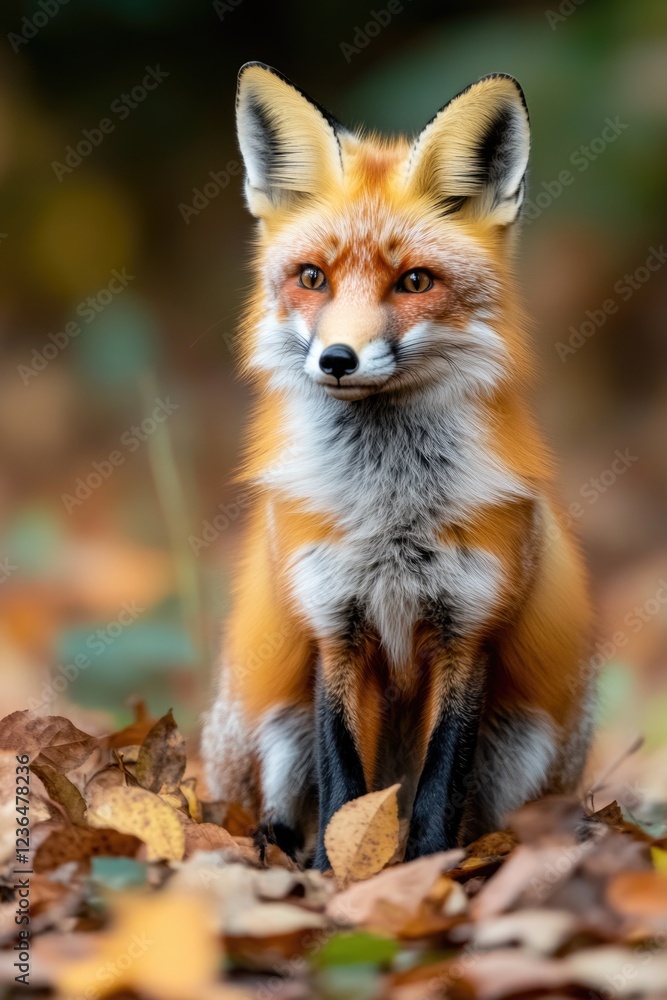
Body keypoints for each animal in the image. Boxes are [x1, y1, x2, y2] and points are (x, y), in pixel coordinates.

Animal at [202, 62, 595, 869]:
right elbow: (343, 778)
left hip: (524, 742)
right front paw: (340, 874)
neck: (389, 510)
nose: (337, 359)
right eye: (312, 278)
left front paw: (427, 872)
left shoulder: (468, 630)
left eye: (414, 282)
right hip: (273, 727)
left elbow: (440, 780)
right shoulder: (334, 626)